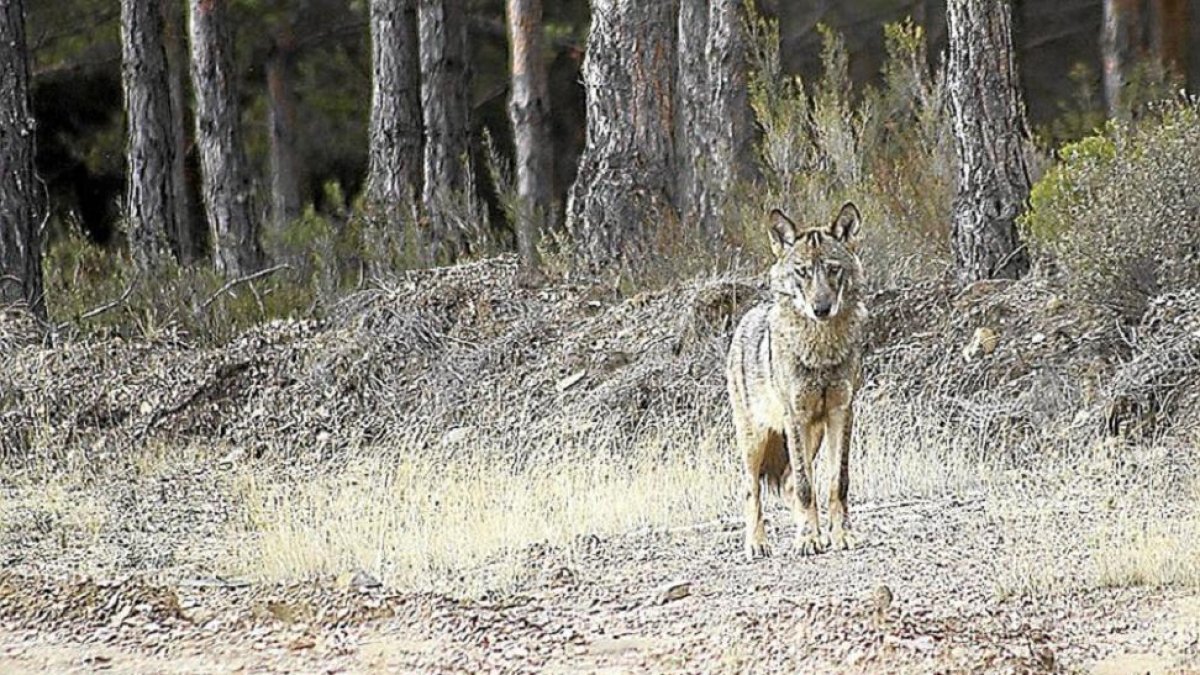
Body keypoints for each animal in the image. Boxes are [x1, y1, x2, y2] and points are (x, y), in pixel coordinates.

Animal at [726, 203, 866, 559]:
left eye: (833, 270)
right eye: (802, 272)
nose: (821, 308)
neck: (821, 350)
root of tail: (746, 319)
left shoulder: (841, 412)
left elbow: (837, 483)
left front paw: (840, 535)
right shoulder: (795, 417)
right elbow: (806, 487)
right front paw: (806, 539)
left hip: (812, 435)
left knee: (789, 482)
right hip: (757, 441)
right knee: (751, 489)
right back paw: (757, 544)